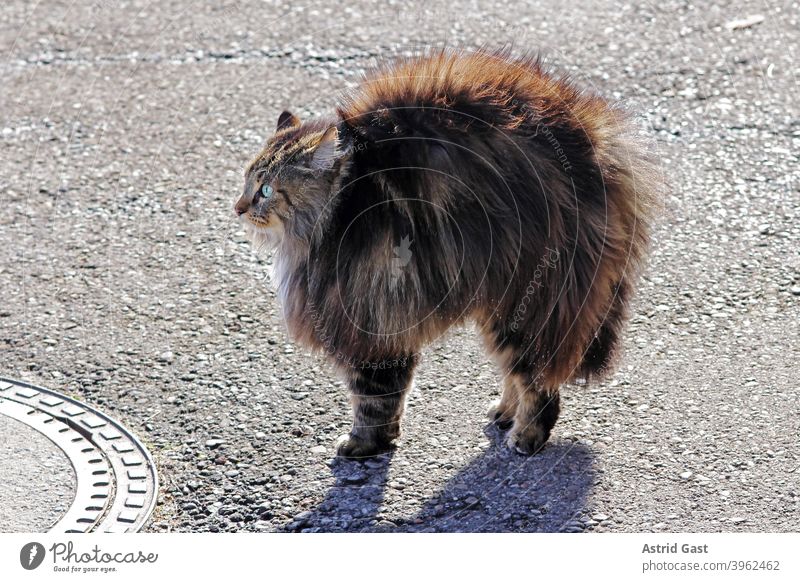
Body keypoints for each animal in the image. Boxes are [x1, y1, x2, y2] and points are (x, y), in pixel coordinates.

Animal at [236, 49, 656, 460]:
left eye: (267, 190)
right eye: (246, 180)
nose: (238, 207)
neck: (342, 207)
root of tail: (596, 140)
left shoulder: (370, 317)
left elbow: (373, 399)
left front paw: (363, 444)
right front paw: (384, 438)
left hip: (530, 298)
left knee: (538, 380)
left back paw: (525, 437)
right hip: (502, 300)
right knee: (518, 373)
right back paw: (505, 412)